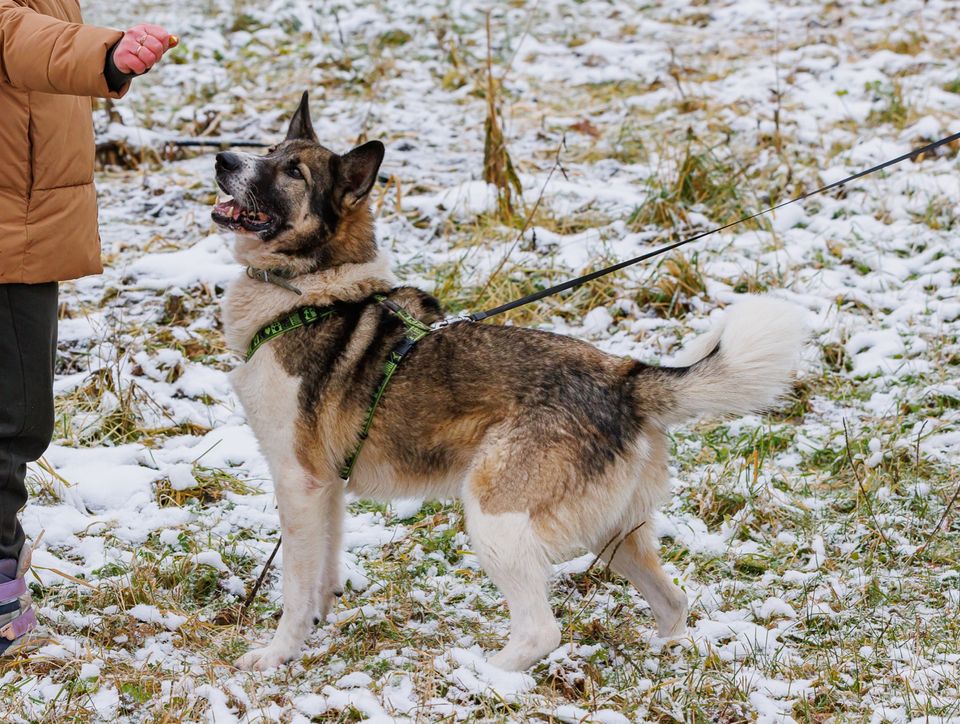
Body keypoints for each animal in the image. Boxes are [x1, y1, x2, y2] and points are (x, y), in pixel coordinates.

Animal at [214, 92, 808, 672]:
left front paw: (278, 653)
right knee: (674, 601)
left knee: (541, 630)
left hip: (495, 517)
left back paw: (480, 674)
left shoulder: (300, 481)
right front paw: (316, 628)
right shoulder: (328, 489)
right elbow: (323, 572)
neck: (310, 295)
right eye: (267, 150)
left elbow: (294, 586)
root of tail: (625, 379)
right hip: (612, 534)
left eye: (293, 171)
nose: (222, 160)